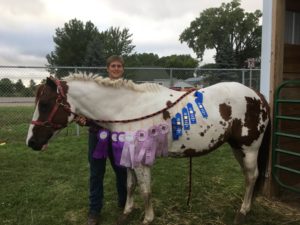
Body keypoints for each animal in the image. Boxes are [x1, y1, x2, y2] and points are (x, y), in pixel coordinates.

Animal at [25, 74, 270, 225]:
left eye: (45, 104)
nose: (31, 142)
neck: (127, 109)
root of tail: (258, 95)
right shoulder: (129, 156)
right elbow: (130, 185)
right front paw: (126, 213)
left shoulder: (141, 159)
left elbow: (145, 190)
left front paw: (147, 218)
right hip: (238, 148)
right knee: (248, 176)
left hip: (249, 148)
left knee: (252, 176)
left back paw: (242, 212)